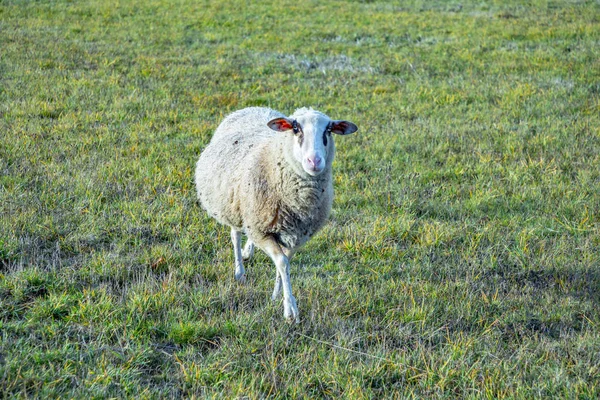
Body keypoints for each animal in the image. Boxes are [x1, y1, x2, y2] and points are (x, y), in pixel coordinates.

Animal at [196, 107, 356, 322]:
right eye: (296, 129)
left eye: (329, 130)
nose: (314, 161)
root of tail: (252, 107)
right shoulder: (261, 231)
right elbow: (282, 262)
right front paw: (290, 310)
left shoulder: (297, 235)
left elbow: (285, 262)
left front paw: (276, 295)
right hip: (233, 204)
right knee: (235, 235)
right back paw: (239, 271)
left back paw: (248, 251)